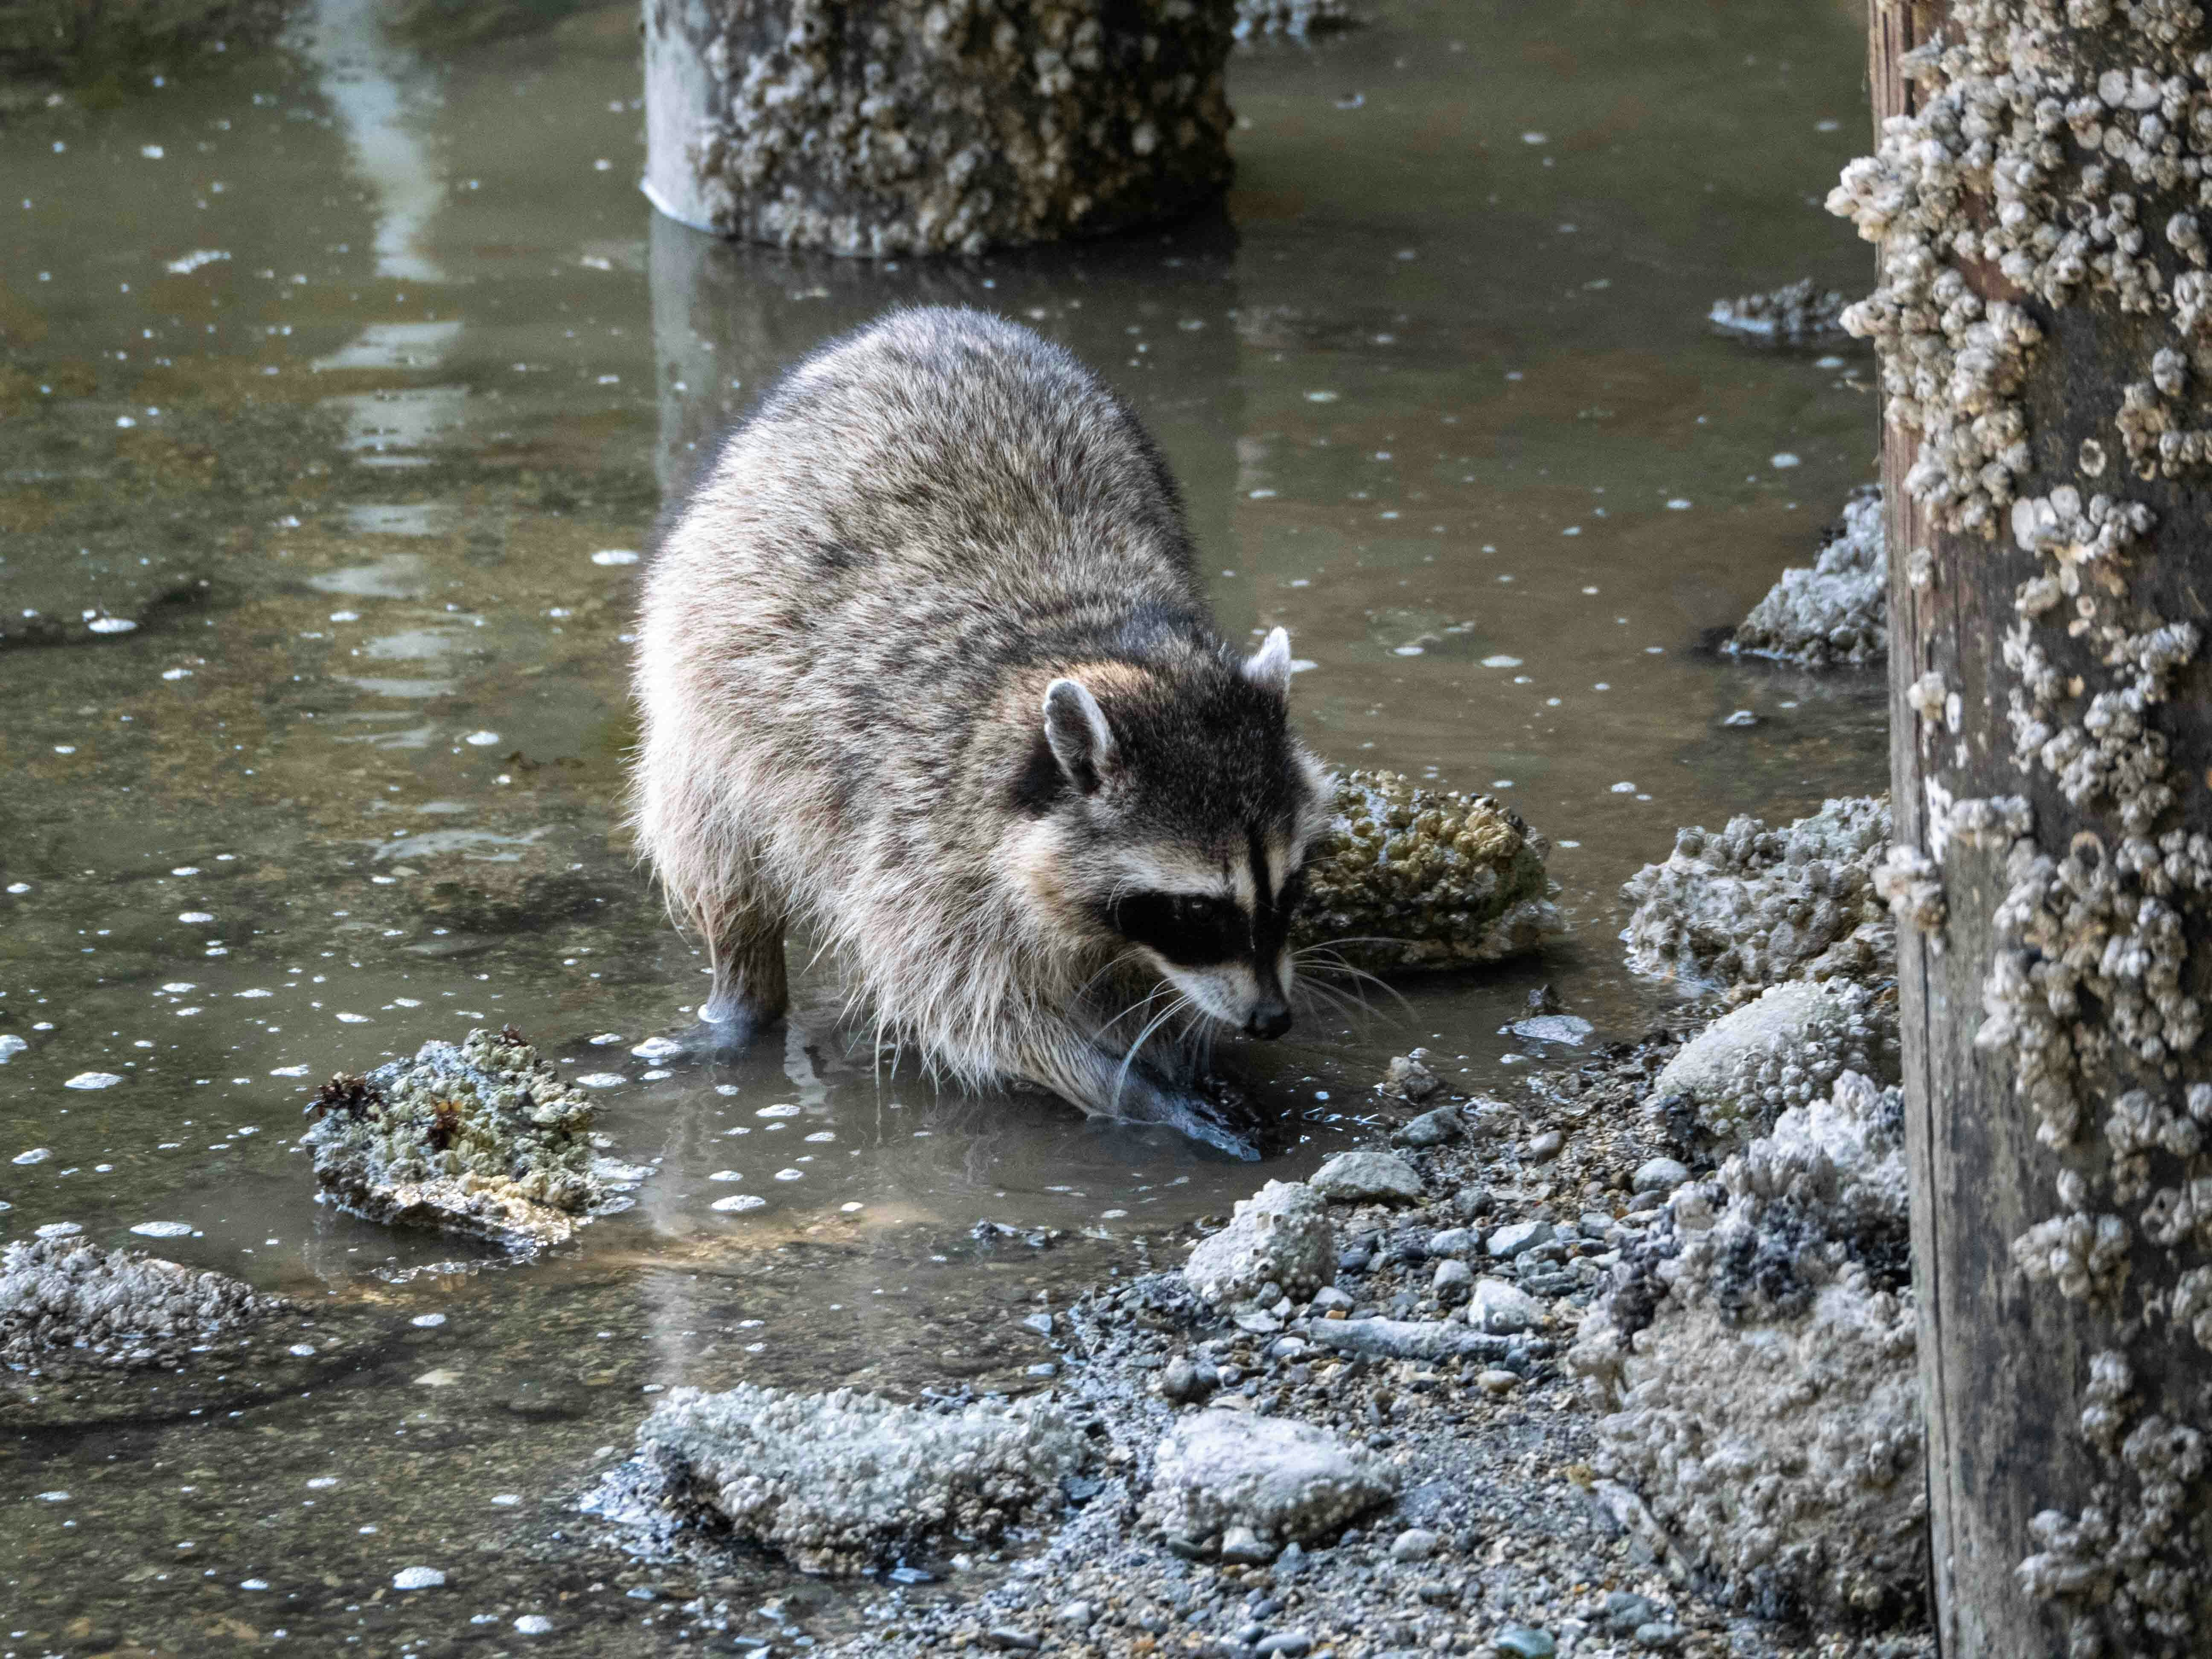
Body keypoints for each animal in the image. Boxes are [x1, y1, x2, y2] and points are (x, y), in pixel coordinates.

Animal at [630, 307, 1330, 1156]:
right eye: (1198, 910)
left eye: (1290, 884)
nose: (1271, 1020)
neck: (1099, 647)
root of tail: (925, 320)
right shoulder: (917, 845)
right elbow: (978, 1011)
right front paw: (1132, 1086)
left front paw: (1179, 1044)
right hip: (701, 693)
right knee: (715, 850)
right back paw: (742, 990)